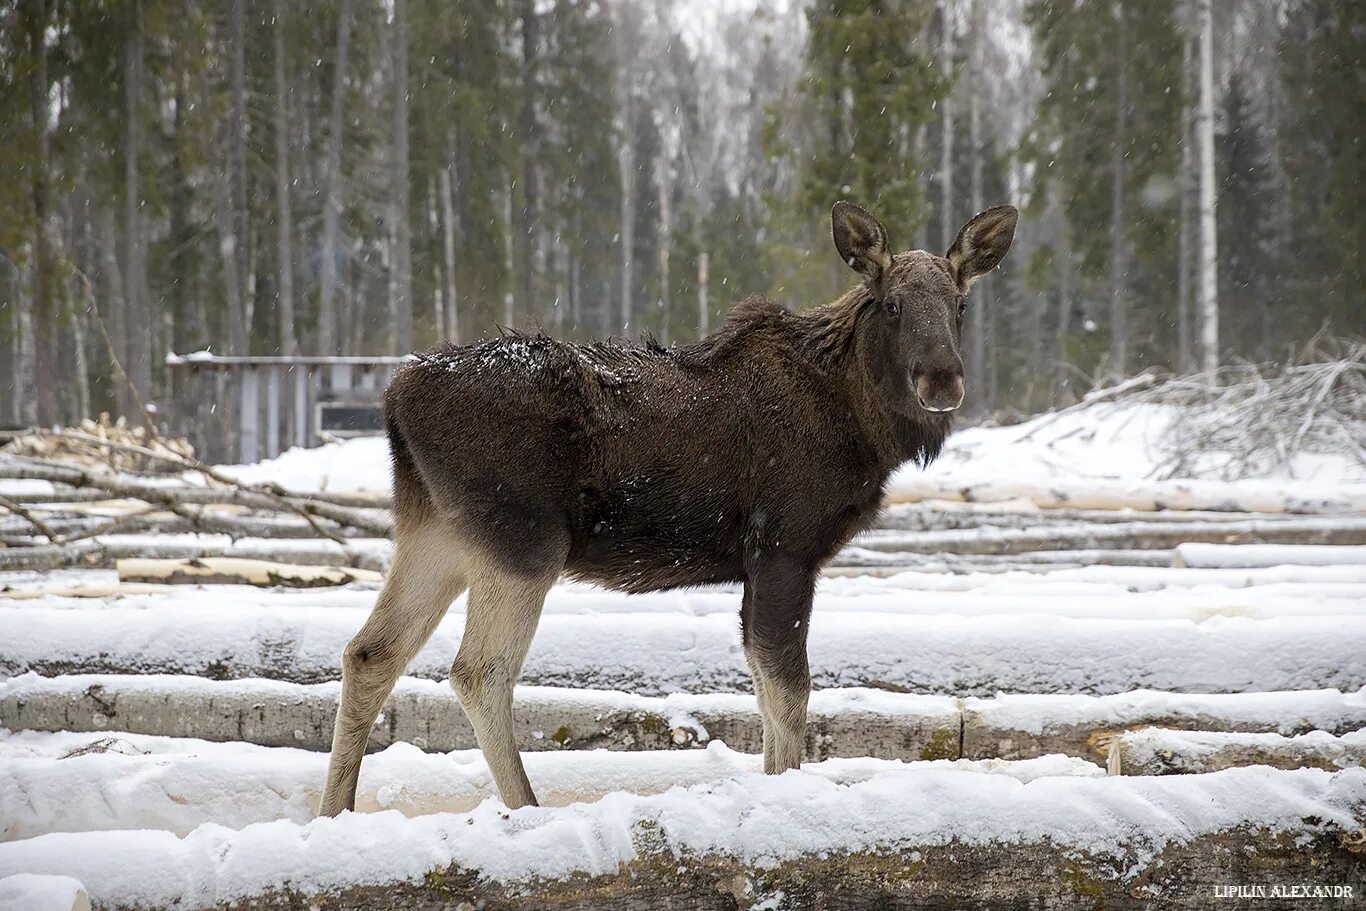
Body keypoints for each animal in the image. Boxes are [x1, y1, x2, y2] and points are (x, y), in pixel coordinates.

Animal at [319, 199, 1016, 814]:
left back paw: (335, 812)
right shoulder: (784, 546)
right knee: (478, 671)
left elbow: (766, 690)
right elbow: (789, 693)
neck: (863, 427)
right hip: (522, 542)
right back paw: (526, 807)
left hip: (435, 530)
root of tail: (395, 397)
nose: (942, 381)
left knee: (371, 653)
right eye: (892, 304)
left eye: (960, 304)